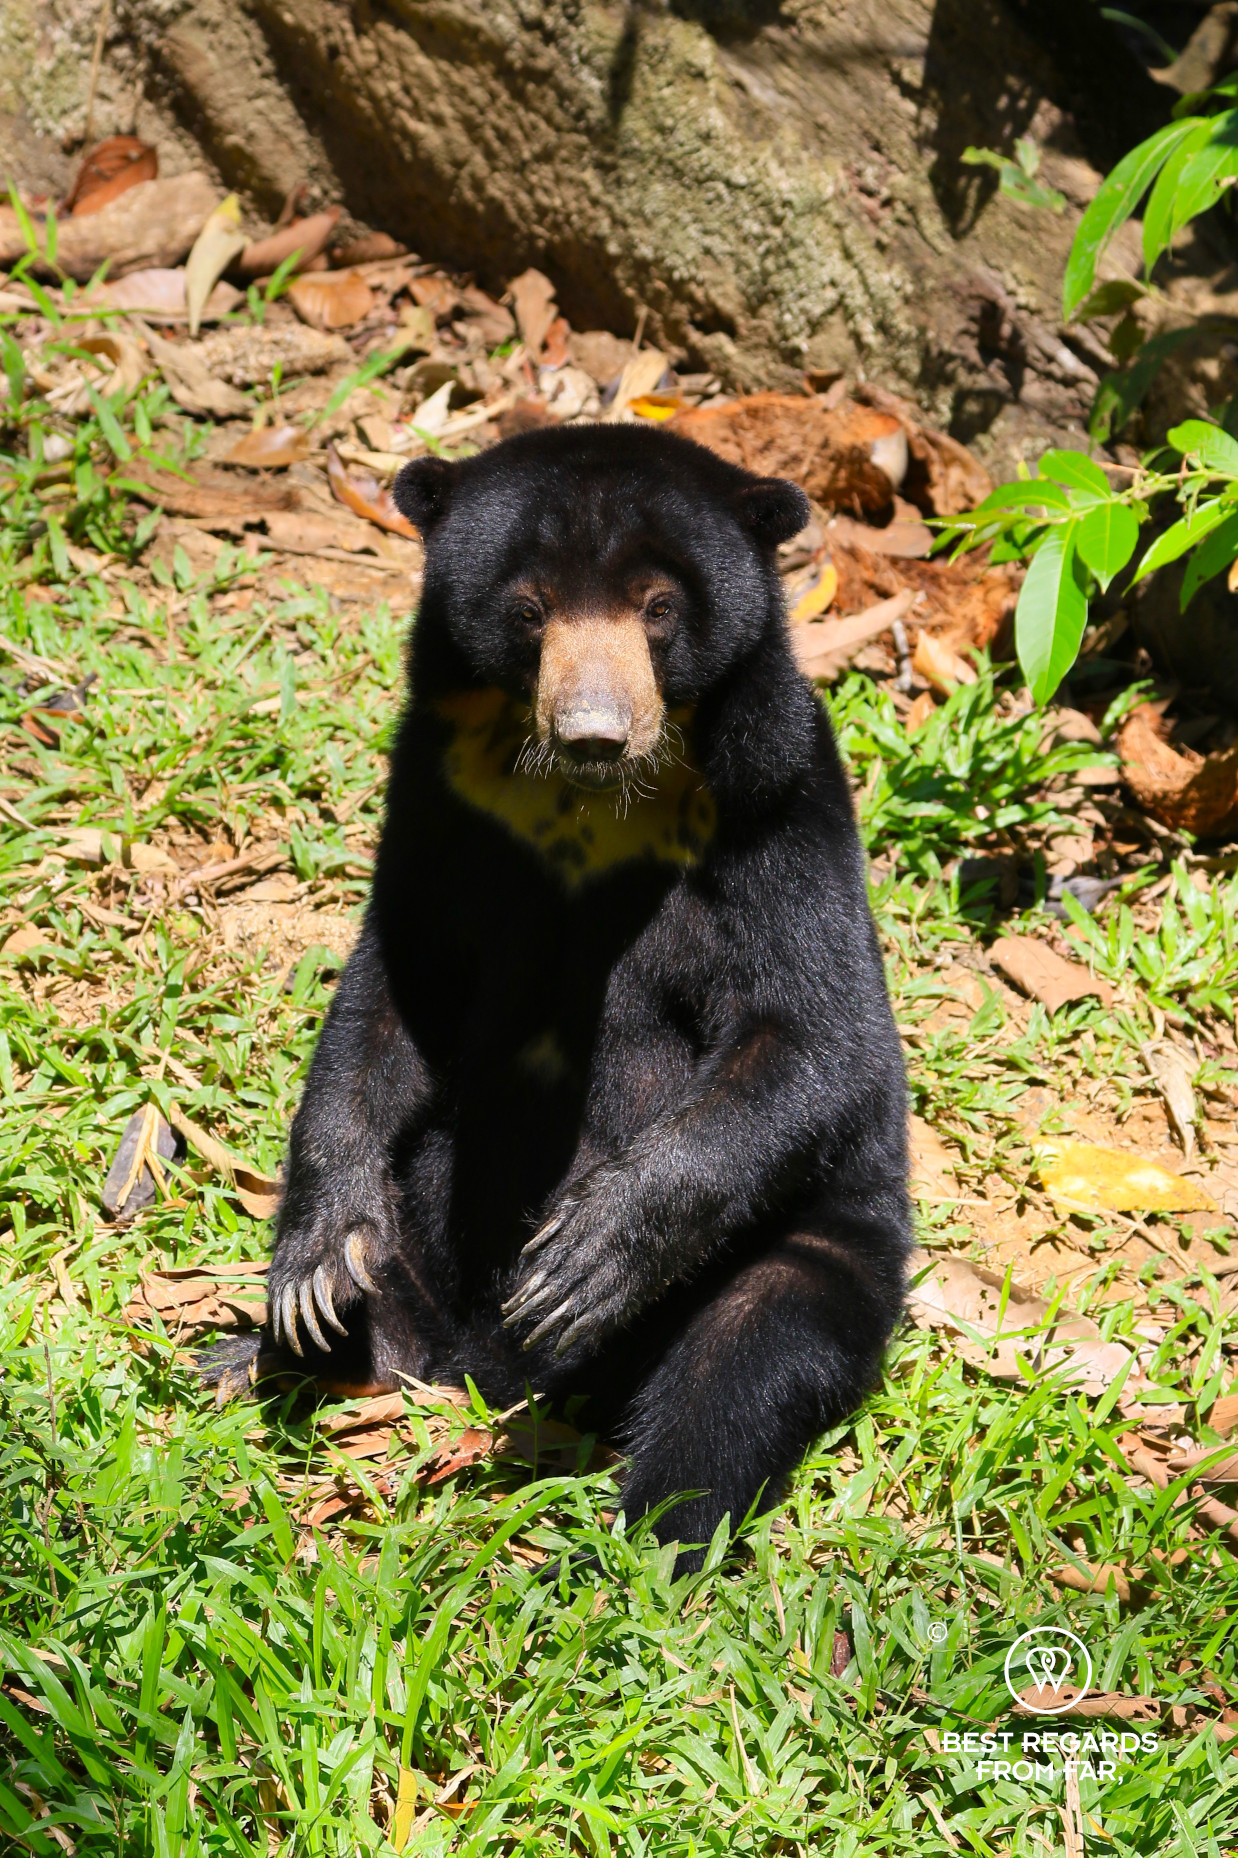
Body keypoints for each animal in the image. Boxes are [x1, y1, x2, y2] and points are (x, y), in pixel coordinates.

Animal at [209, 421, 911, 1573]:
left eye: (659, 607)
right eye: (529, 609)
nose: (593, 731)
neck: (594, 813)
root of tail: (488, 1373)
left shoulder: (780, 809)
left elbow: (814, 1036)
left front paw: (581, 1260)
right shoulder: (437, 800)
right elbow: (392, 995)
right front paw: (312, 1261)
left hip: (816, 1246)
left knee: (741, 1372)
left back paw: (650, 1542)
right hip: (425, 1250)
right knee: (385, 1285)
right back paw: (276, 1355)